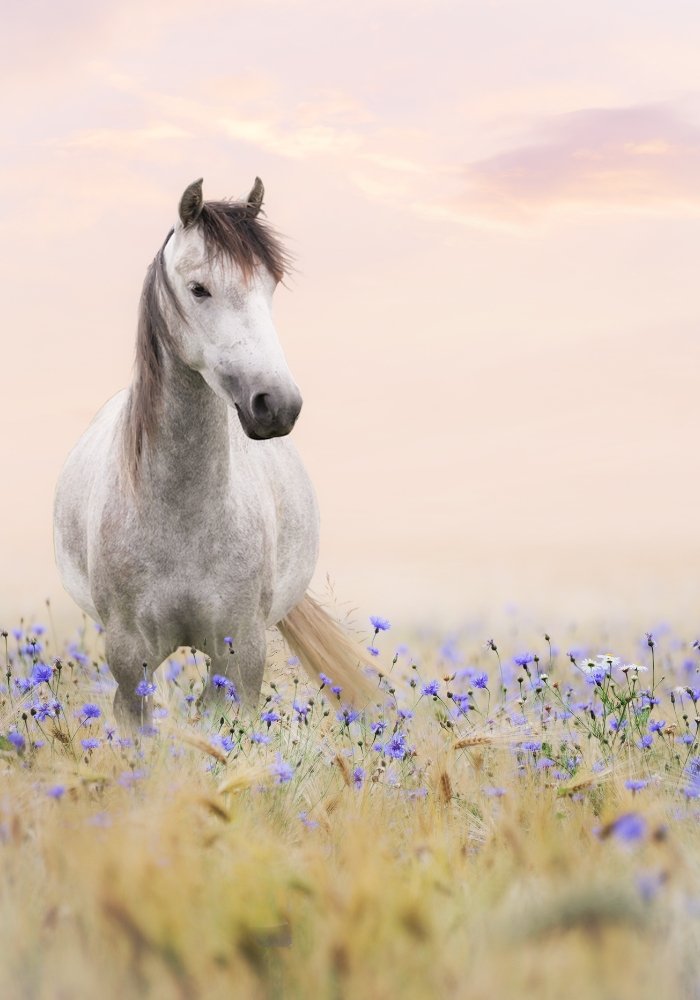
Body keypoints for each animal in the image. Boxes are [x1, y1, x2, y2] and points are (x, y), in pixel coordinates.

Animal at [53, 178, 372, 728]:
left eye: (270, 286)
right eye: (199, 289)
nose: (277, 404)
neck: (183, 513)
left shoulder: (241, 653)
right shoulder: (128, 659)